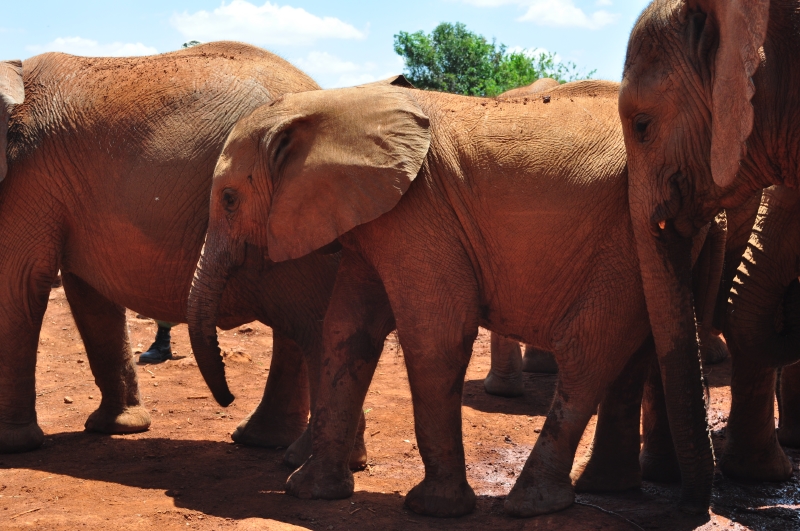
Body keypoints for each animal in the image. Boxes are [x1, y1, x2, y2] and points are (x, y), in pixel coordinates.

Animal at [0, 43, 363, 463]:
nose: (227, 399)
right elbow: (88, 293)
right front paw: (120, 428)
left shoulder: (30, 175)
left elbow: (19, 281)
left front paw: (11, 446)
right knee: (297, 323)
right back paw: (265, 442)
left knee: (305, 320)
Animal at [188, 79, 714, 516]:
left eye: (229, 199)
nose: (226, 400)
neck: (334, 102)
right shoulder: (377, 219)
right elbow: (346, 331)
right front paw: (309, 492)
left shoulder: (419, 212)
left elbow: (435, 337)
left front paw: (434, 509)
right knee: (636, 350)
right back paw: (601, 490)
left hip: (625, 238)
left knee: (589, 351)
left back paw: (529, 505)